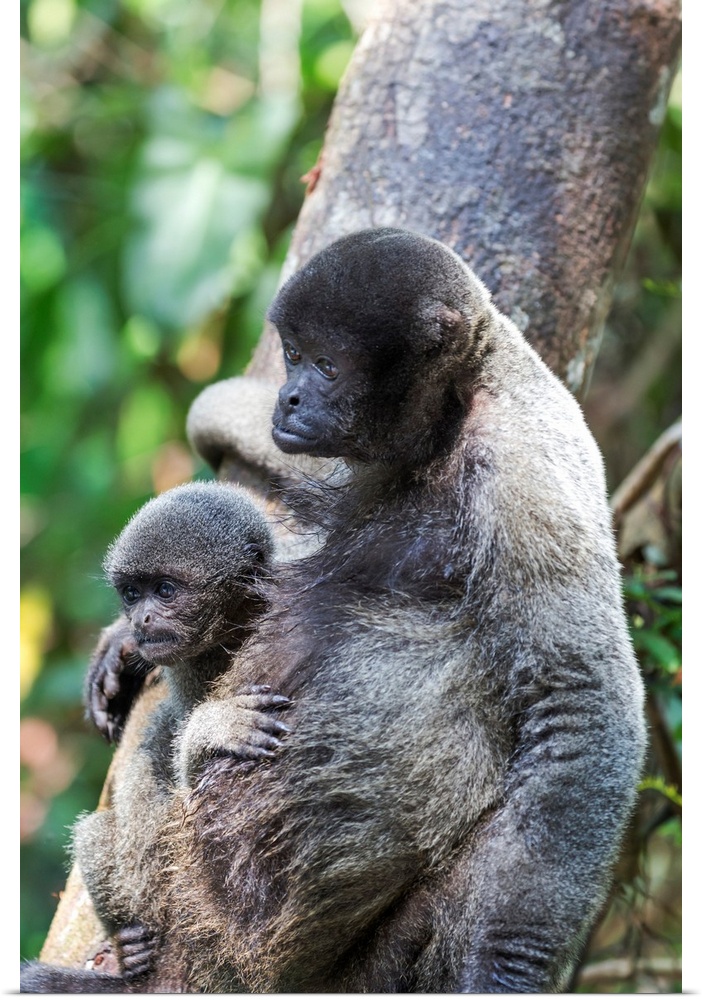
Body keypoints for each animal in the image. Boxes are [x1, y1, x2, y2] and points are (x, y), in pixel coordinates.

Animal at [55, 227, 645, 993]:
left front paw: (506, 970)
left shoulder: (525, 473)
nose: (288, 398)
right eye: (293, 356)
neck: (458, 408)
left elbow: (579, 701)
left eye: (327, 366)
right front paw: (122, 642)